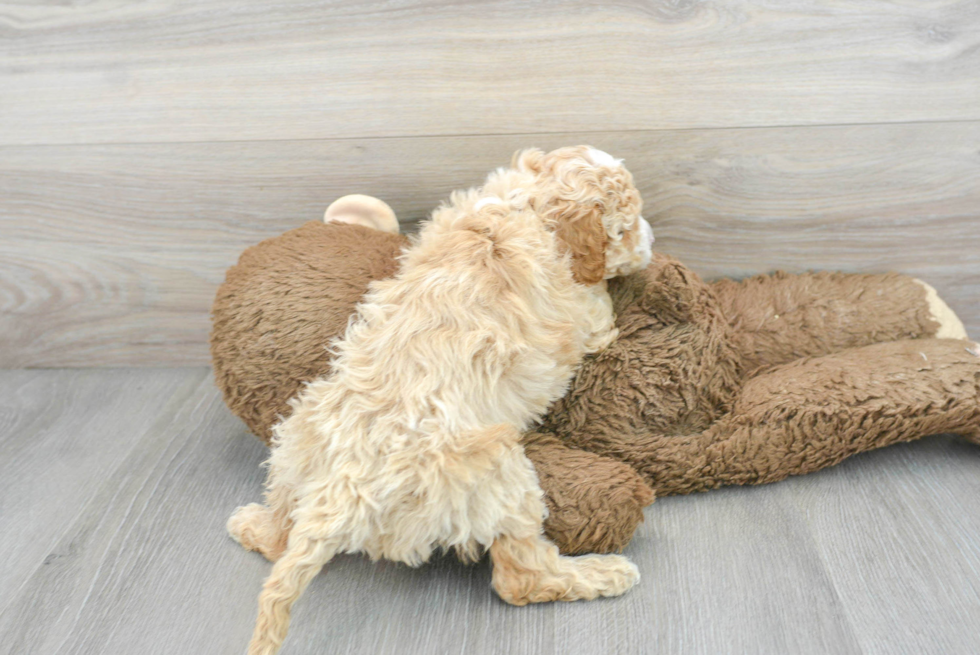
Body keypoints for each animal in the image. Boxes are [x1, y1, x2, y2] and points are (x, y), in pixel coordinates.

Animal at [229, 146, 656, 652]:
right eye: (624, 229)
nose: (651, 240)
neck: (528, 205)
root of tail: (343, 492)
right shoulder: (588, 315)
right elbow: (603, 310)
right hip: (500, 476)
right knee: (522, 579)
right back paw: (600, 573)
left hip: (297, 432)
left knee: (281, 529)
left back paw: (252, 525)